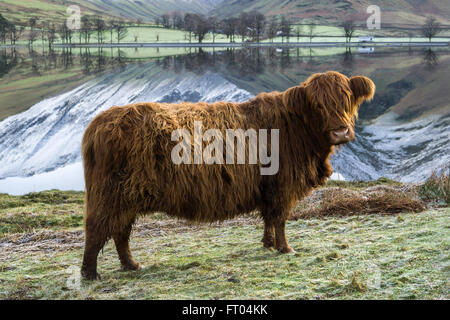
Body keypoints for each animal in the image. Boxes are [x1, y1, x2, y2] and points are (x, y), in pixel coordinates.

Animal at [81, 71, 376, 278]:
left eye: (347, 99)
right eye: (317, 105)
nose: (340, 132)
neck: (297, 128)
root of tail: (99, 123)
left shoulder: (267, 188)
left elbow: (268, 218)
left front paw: (267, 243)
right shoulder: (283, 186)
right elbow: (280, 218)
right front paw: (285, 248)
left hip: (127, 197)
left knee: (120, 232)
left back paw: (131, 265)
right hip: (111, 195)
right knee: (98, 230)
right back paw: (90, 274)